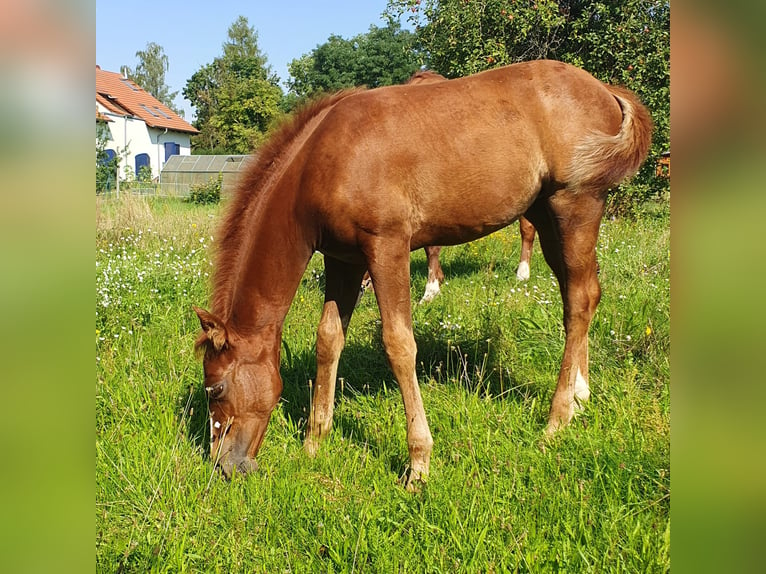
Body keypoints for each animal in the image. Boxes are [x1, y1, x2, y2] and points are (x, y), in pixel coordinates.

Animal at [194, 59, 656, 490]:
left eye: (215, 389)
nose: (223, 467)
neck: (324, 159)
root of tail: (605, 90)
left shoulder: (387, 248)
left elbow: (399, 344)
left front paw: (418, 463)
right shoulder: (344, 260)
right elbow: (328, 339)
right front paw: (314, 442)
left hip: (576, 206)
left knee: (579, 300)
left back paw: (556, 420)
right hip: (546, 217)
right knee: (583, 293)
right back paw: (580, 395)